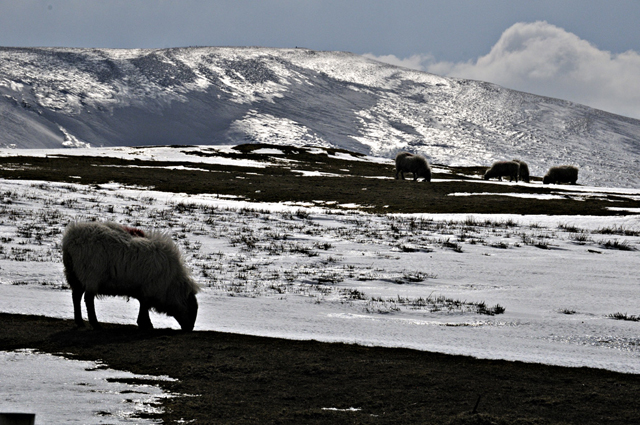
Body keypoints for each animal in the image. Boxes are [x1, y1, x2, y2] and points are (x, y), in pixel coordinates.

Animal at [62, 221, 200, 331]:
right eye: (191, 308)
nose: (189, 329)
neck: (171, 285)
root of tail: (71, 238)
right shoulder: (149, 290)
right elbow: (144, 307)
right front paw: (147, 325)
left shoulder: (143, 290)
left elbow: (143, 306)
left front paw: (144, 324)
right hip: (91, 275)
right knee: (88, 299)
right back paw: (95, 324)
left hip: (74, 274)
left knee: (76, 296)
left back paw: (80, 322)